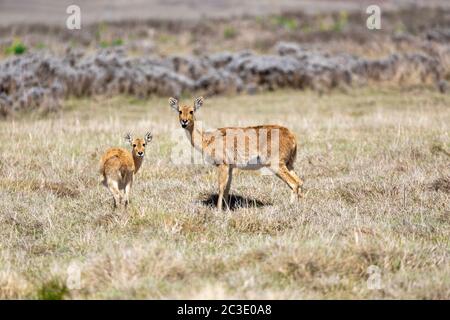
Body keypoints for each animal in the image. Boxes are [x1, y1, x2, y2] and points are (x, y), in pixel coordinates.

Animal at [169, 95, 302, 210]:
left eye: (191, 111)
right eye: (180, 111)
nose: (184, 121)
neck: (207, 139)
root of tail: (291, 135)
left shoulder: (222, 165)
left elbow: (221, 187)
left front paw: (218, 210)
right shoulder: (231, 167)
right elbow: (227, 188)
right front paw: (227, 209)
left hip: (276, 165)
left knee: (294, 183)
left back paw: (291, 207)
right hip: (289, 164)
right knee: (300, 182)